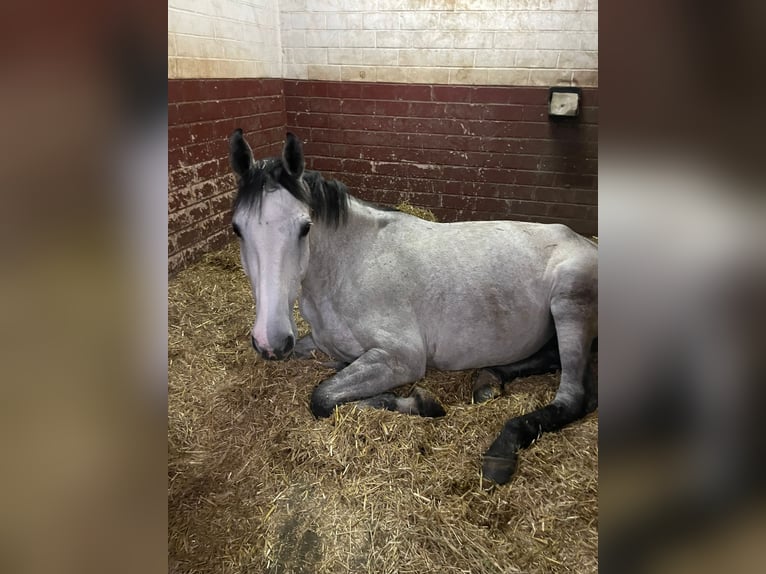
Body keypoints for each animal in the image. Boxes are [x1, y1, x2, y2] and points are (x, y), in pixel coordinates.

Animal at [228, 129, 598, 484]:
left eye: (305, 227)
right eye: (237, 229)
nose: (271, 341)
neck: (352, 264)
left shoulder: (401, 358)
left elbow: (323, 398)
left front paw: (420, 402)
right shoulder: (320, 343)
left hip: (570, 305)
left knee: (572, 397)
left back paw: (502, 451)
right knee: (548, 359)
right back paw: (488, 381)